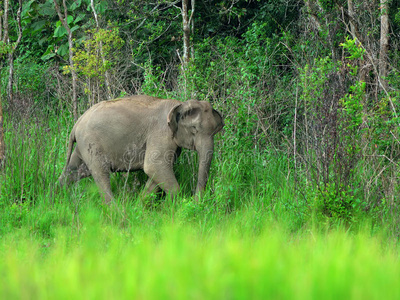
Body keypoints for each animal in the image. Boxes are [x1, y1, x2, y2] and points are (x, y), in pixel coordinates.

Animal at [57, 95, 223, 203]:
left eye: (215, 131)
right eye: (194, 129)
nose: (195, 200)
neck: (179, 104)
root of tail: (77, 123)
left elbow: (156, 173)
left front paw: (141, 206)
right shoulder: (161, 133)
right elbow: (153, 166)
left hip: (82, 145)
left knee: (74, 171)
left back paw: (56, 196)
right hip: (91, 143)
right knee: (100, 173)